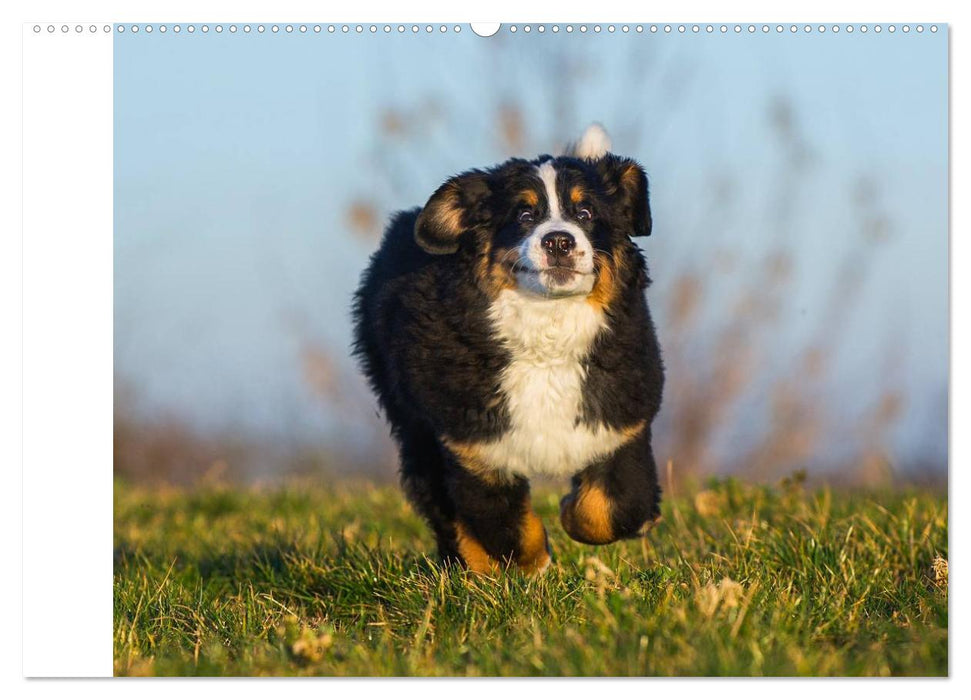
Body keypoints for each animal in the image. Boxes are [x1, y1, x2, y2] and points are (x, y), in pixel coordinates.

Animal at [354, 126, 664, 576]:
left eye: (585, 213)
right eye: (524, 216)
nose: (559, 241)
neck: (546, 339)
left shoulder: (620, 426)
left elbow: (608, 510)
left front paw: (573, 508)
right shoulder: (473, 447)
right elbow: (509, 528)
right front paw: (532, 566)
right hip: (416, 428)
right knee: (444, 508)